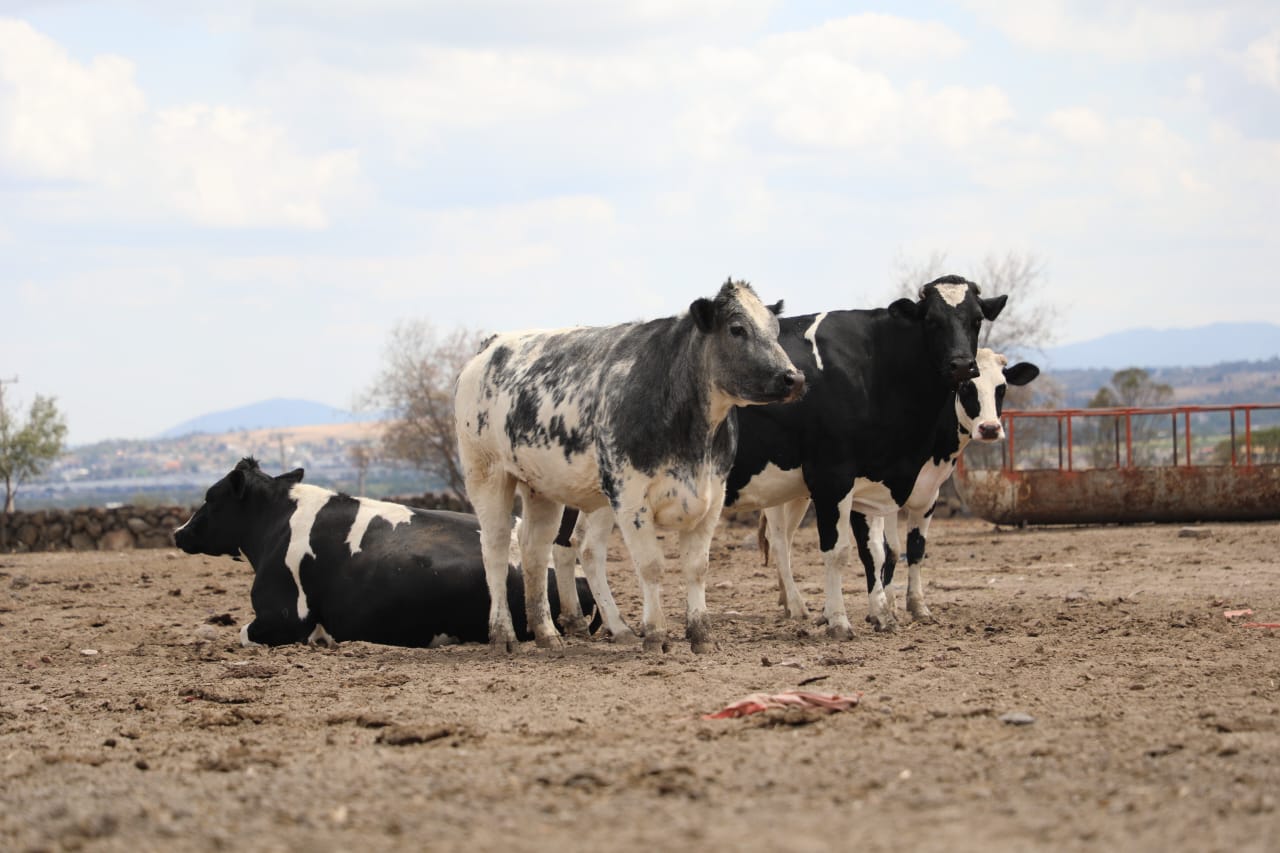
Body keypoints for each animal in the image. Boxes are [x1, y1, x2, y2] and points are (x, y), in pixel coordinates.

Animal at [454, 279, 804, 654]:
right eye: (737, 329)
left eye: (775, 329)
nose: (793, 378)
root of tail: (493, 344)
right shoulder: (631, 497)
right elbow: (650, 566)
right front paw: (656, 634)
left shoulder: (712, 495)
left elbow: (697, 567)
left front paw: (701, 635)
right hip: (487, 474)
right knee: (496, 547)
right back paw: (503, 634)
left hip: (541, 486)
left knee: (535, 546)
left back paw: (548, 633)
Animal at [722, 275, 1007, 639]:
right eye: (931, 320)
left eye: (977, 319)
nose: (961, 365)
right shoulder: (833, 477)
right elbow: (838, 551)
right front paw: (839, 621)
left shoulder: (874, 483)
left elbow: (879, 552)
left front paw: (883, 614)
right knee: (780, 540)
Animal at [759, 347, 1040, 631]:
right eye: (966, 387)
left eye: (1001, 388)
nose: (990, 428)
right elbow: (884, 550)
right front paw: (883, 608)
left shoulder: (927, 495)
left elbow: (912, 549)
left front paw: (912, 606)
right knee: (780, 542)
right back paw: (797, 606)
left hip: (798, 496)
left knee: (788, 540)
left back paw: (788, 600)